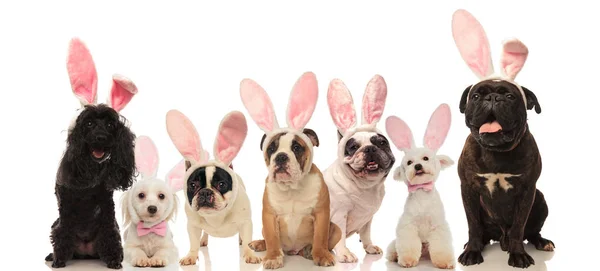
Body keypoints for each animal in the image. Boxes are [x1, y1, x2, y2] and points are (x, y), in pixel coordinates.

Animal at [120, 136, 178, 268]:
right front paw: (141, 259)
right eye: (141, 195)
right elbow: (136, 250)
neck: (150, 229)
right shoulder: (128, 248)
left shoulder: (170, 248)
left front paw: (157, 259)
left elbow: (163, 251)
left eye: (161, 196)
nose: (152, 208)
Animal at [384, 104, 454, 270]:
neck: (422, 191)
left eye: (425, 158)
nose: (417, 166)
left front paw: (444, 262)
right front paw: (407, 260)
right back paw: (394, 256)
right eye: (409, 162)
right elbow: (408, 244)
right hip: (394, 243)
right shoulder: (408, 225)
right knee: (393, 248)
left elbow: (441, 246)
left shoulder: (438, 225)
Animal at [452, 9, 556, 270]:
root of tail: (501, 237)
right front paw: (473, 251)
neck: (496, 152)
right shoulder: (468, 190)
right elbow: (473, 225)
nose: (492, 98)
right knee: (482, 231)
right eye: (476, 96)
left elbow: (519, 226)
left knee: (531, 231)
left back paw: (541, 242)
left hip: (540, 198)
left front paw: (518, 255)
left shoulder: (527, 190)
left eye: (510, 96)